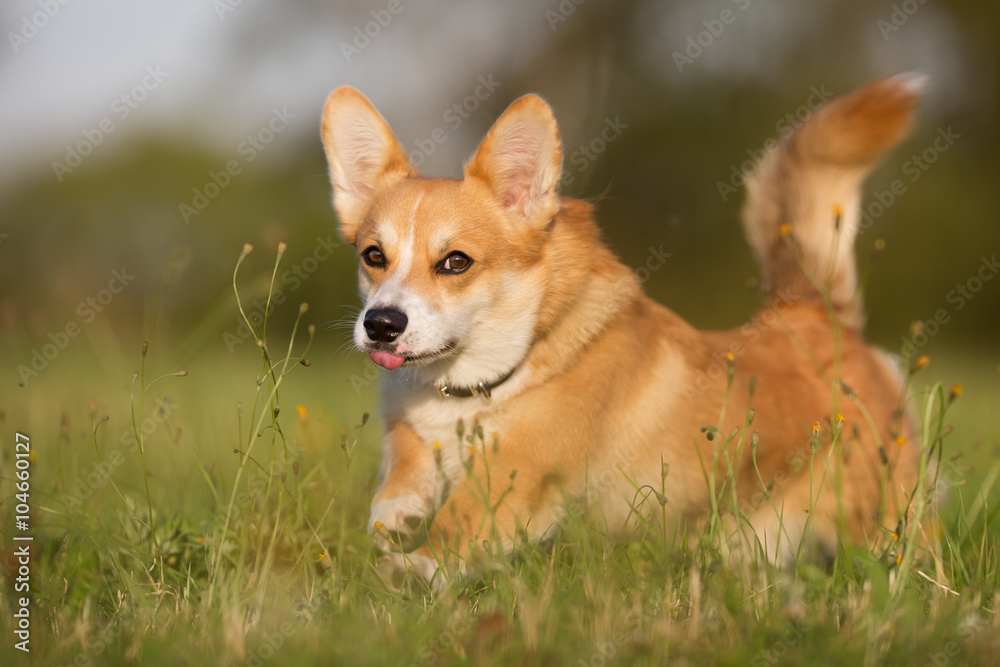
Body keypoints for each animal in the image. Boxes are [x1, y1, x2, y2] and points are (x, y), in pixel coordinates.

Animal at [320, 73, 920, 584]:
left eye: (455, 262)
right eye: (374, 256)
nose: (380, 325)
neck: (478, 383)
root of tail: (811, 316)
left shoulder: (517, 474)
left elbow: (457, 523)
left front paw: (411, 567)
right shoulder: (409, 430)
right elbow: (398, 477)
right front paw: (401, 516)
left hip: (881, 526)